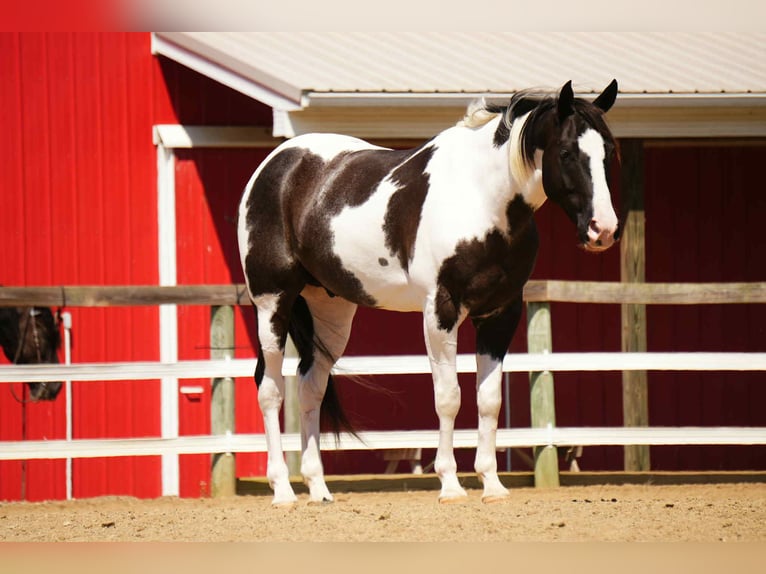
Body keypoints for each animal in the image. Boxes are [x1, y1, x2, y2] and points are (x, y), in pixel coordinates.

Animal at [237, 80, 620, 506]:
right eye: (567, 152)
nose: (603, 230)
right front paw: (450, 484)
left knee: (310, 388)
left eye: (609, 151)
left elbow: (489, 400)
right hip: (272, 302)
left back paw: (318, 488)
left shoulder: (501, 313)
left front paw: (492, 484)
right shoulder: (441, 309)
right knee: (269, 388)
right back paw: (282, 490)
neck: (479, 199)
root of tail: (275, 163)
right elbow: (448, 396)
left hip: (329, 312)